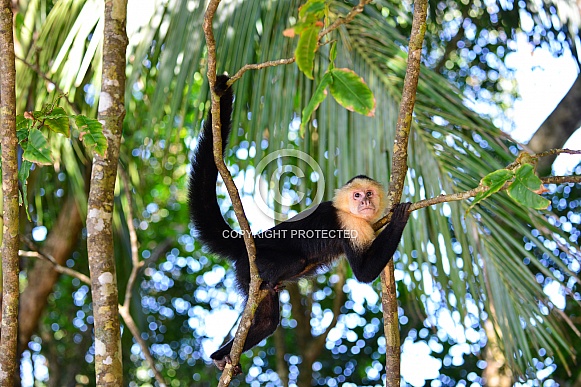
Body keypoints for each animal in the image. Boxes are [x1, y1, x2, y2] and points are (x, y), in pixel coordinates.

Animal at [188, 74, 410, 374]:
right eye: (357, 195)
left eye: (369, 193)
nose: (365, 202)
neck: (353, 213)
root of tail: (251, 242)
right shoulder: (350, 222)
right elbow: (364, 272)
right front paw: (399, 219)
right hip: (256, 263)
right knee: (292, 264)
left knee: (267, 322)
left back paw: (221, 356)